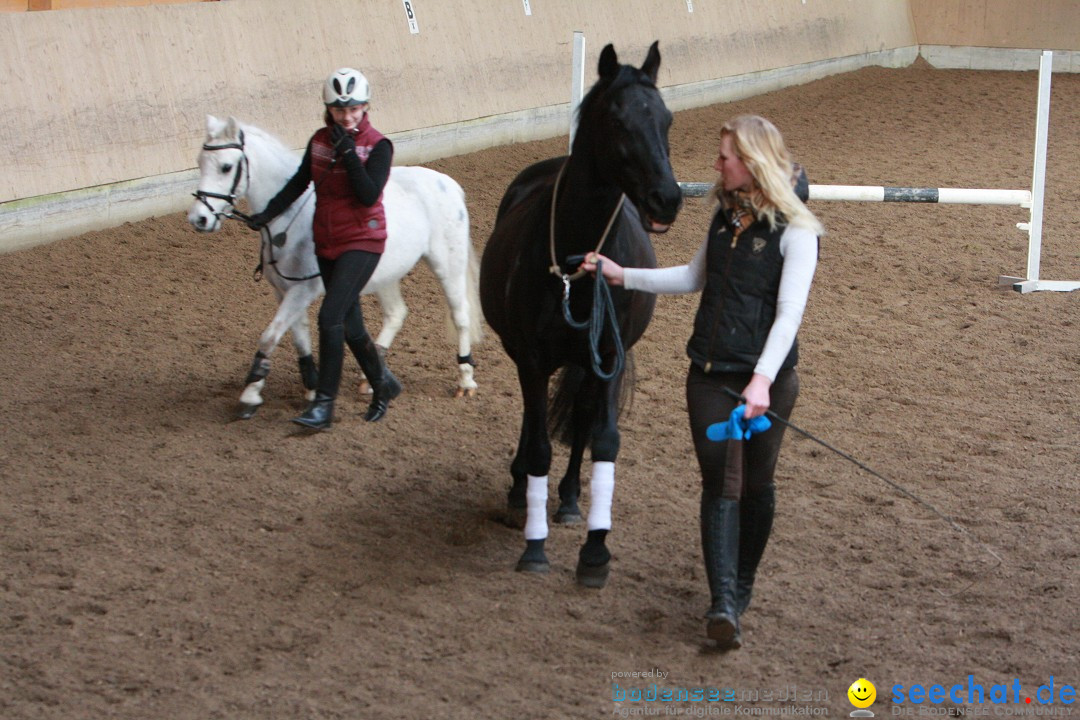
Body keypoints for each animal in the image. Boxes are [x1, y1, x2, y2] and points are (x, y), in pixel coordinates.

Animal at [190, 112, 481, 416]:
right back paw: (370, 378)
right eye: (200, 161)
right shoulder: (284, 291)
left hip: (448, 264)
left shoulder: (302, 290)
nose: (199, 219)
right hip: (385, 275)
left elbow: (269, 336)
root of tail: (448, 184)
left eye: (226, 167)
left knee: (460, 315)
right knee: (396, 314)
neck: (290, 221)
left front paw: (250, 395)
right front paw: (310, 388)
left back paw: (465, 380)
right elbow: (298, 337)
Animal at [481, 42, 682, 587]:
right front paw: (534, 545)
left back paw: (570, 499)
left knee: (584, 416)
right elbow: (537, 446)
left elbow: (604, 439)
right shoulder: (531, 358)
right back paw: (519, 492)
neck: (579, 263)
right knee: (532, 423)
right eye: (617, 120)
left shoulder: (608, 355)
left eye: (667, 119)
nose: (667, 198)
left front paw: (595, 551)